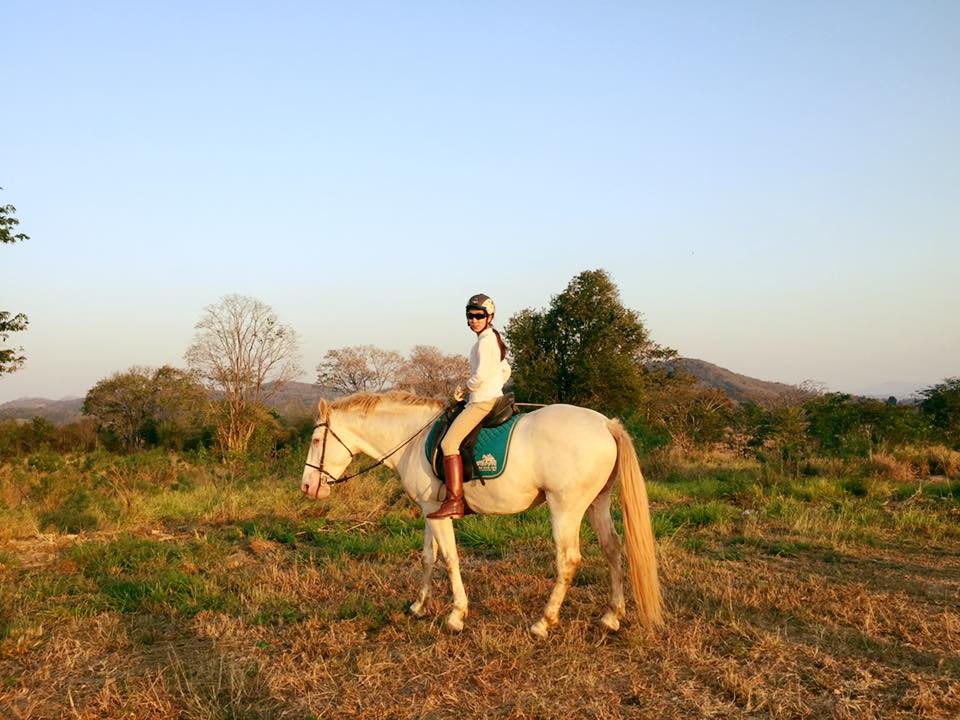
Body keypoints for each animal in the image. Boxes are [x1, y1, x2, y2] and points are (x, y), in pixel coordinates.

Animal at [300, 390, 662, 637]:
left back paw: (544, 622)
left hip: (565, 508)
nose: (306, 486)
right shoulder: (430, 511)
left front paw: (456, 615)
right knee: (612, 549)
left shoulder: (439, 514)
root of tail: (605, 424)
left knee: (569, 560)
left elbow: (450, 560)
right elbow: (429, 558)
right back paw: (611, 616)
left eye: (317, 439)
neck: (412, 440)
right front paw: (419, 606)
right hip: (597, 504)